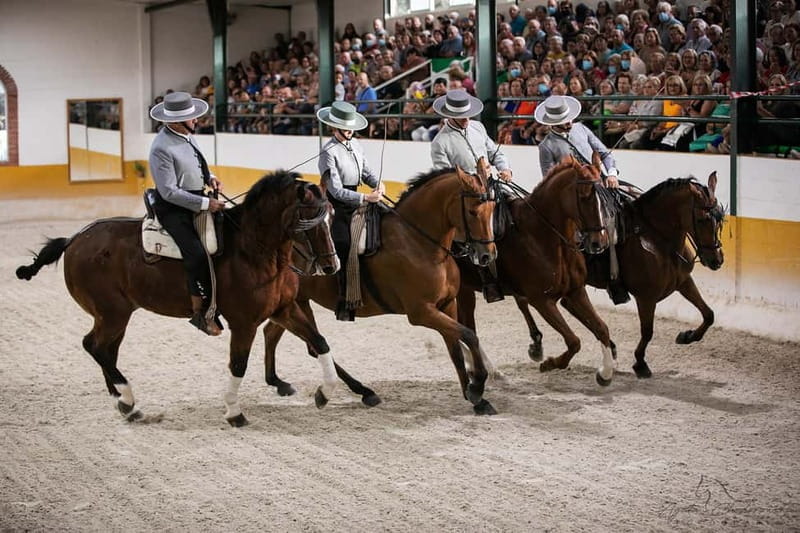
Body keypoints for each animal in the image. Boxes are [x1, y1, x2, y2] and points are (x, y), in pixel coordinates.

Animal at [16, 171, 340, 427]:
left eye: (331, 217)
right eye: (308, 221)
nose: (330, 266)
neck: (255, 251)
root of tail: (74, 239)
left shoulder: (284, 309)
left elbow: (320, 342)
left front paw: (324, 393)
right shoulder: (244, 323)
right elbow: (238, 365)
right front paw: (234, 412)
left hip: (117, 315)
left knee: (106, 350)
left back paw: (124, 403)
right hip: (112, 313)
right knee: (94, 346)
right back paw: (128, 398)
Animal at [262, 166, 501, 415]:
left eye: (492, 209)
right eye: (473, 211)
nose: (487, 255)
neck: (419, 242)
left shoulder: (447, 304)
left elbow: (455, 348)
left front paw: (475, 398)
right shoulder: (422, 312)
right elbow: (469, 335)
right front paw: (477, 387)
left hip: (292, 303)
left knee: (274, 333)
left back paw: (279, 382)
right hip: (298, 302)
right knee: (312, 345)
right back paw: (359, 391)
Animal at [456, 155, 617, 386]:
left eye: (604, 196)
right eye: (584, 196)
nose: (599, 243)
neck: (543, 236)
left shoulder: (576, 292)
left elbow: (601, 328)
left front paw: (605, 373)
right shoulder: (542, 301)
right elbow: (574, 341)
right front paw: (550, 363)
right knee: (466, 325)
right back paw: (487, 369)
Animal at [513, 172, 725, 379]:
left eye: (720, 219)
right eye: (703, 219)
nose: (717, 260)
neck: (657, 240)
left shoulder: (684, 282)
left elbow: (709, 314)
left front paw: (687, 336)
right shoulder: (646, 297)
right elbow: (647, 331)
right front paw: (640, 363)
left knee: (566, 305)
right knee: (526, 302)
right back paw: (537, 344)